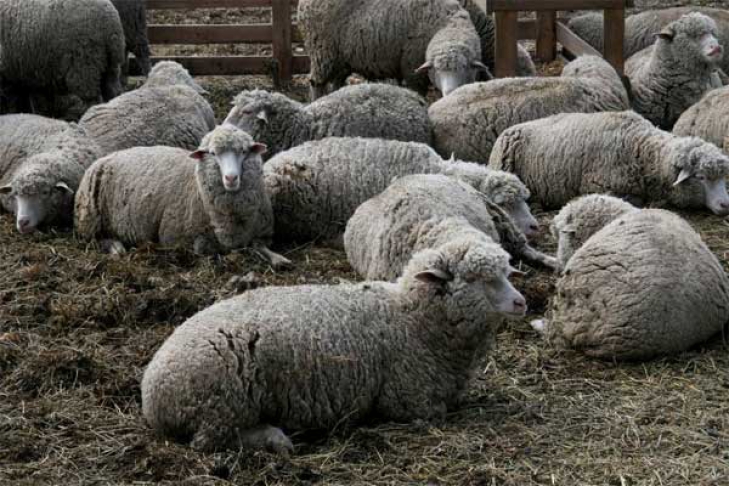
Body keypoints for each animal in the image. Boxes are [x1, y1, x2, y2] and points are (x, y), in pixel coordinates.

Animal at [74, 125, 289, 266]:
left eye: (244, 151)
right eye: (212, 153)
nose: (231, 178)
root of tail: (104, 157)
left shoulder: (263, 233)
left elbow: (259, 246)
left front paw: (279, 259)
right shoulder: (176, 237)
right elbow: (205, 250)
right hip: (90, 219)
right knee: (96, 239)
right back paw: (116, 248)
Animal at [141, 236, 526, 453]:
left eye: (506, 273)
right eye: (480, 279)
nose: (522, 303)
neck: (411, 317)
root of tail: (150, 392)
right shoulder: (409, 401)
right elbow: (435, 412)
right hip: (222, 401)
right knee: (210, 442)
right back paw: (275, 438)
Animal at [298, 0, 487, 99]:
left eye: (465, 68)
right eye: (438, 71)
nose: (450, 93)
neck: (446, 23)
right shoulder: (412, 68)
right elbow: (418, 92)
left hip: (342, 59)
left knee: (336, 81)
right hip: (322, 52)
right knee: (316, 82)